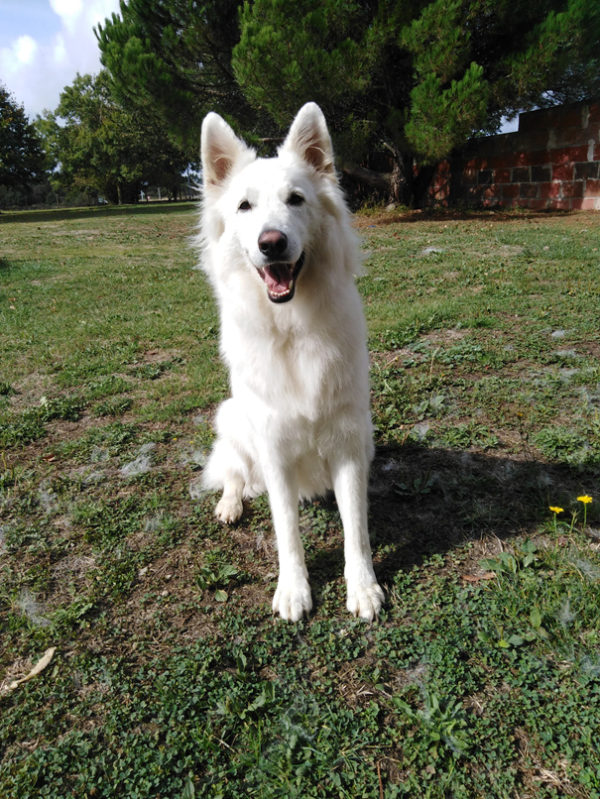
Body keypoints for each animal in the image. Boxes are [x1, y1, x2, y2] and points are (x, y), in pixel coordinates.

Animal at [198, 101, 384, 624]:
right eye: (244, 206)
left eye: (296, 200)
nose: (272, 242)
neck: (293, 328)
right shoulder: (273, 448)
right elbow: (287, 532)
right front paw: (294, 590)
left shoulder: (349, 444)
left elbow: (356, 528)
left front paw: (362, 587)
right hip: (231, 415)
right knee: (233, 470)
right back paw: (231, 503)